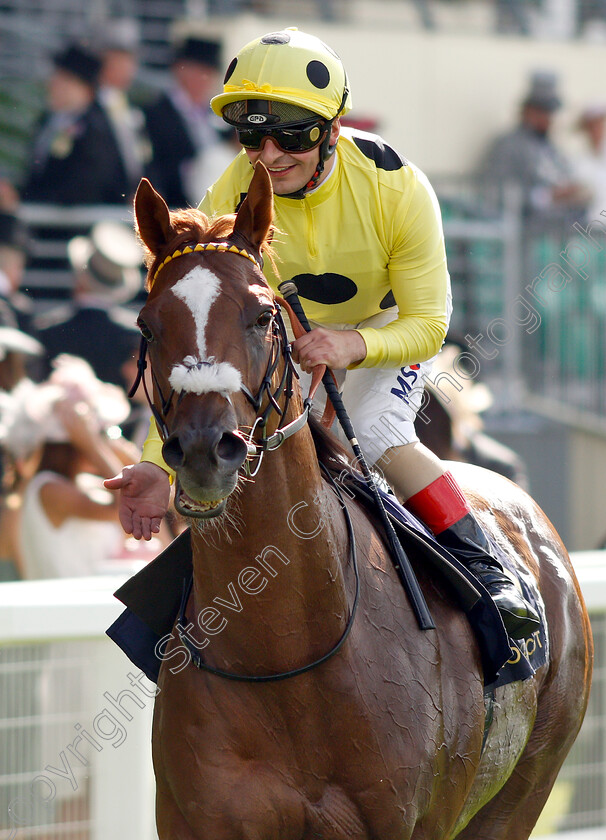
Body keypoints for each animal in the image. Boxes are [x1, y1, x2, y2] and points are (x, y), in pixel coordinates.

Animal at [132, 166, 592, 840]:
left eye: (263, 314)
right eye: (147, 324)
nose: (202, 450)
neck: (286, 649)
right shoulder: (199, 818)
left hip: (525, 787)